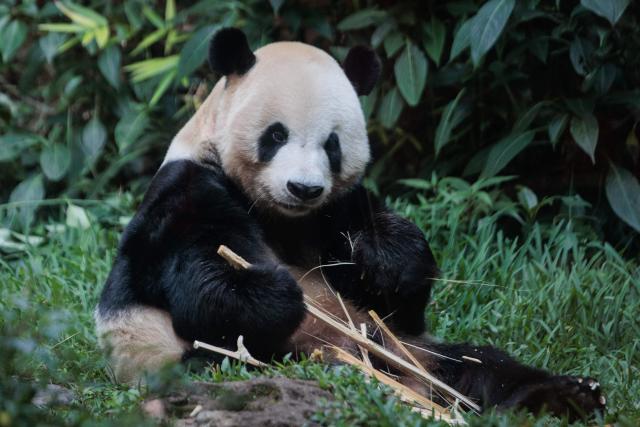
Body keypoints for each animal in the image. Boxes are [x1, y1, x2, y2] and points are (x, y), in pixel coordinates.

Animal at [96, 28, 605, 420]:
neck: (281, 216)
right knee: (234, 364)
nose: (303, 188)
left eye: (332, 144)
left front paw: (389, 262)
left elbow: (397, 292)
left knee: (480, 365)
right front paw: (279, 294)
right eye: (275, 135)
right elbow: (203, 287)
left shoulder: (339, 209)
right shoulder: (186, 192)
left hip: (414, 352)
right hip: (202, 357)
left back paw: (568, 395)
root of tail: (416, 387)